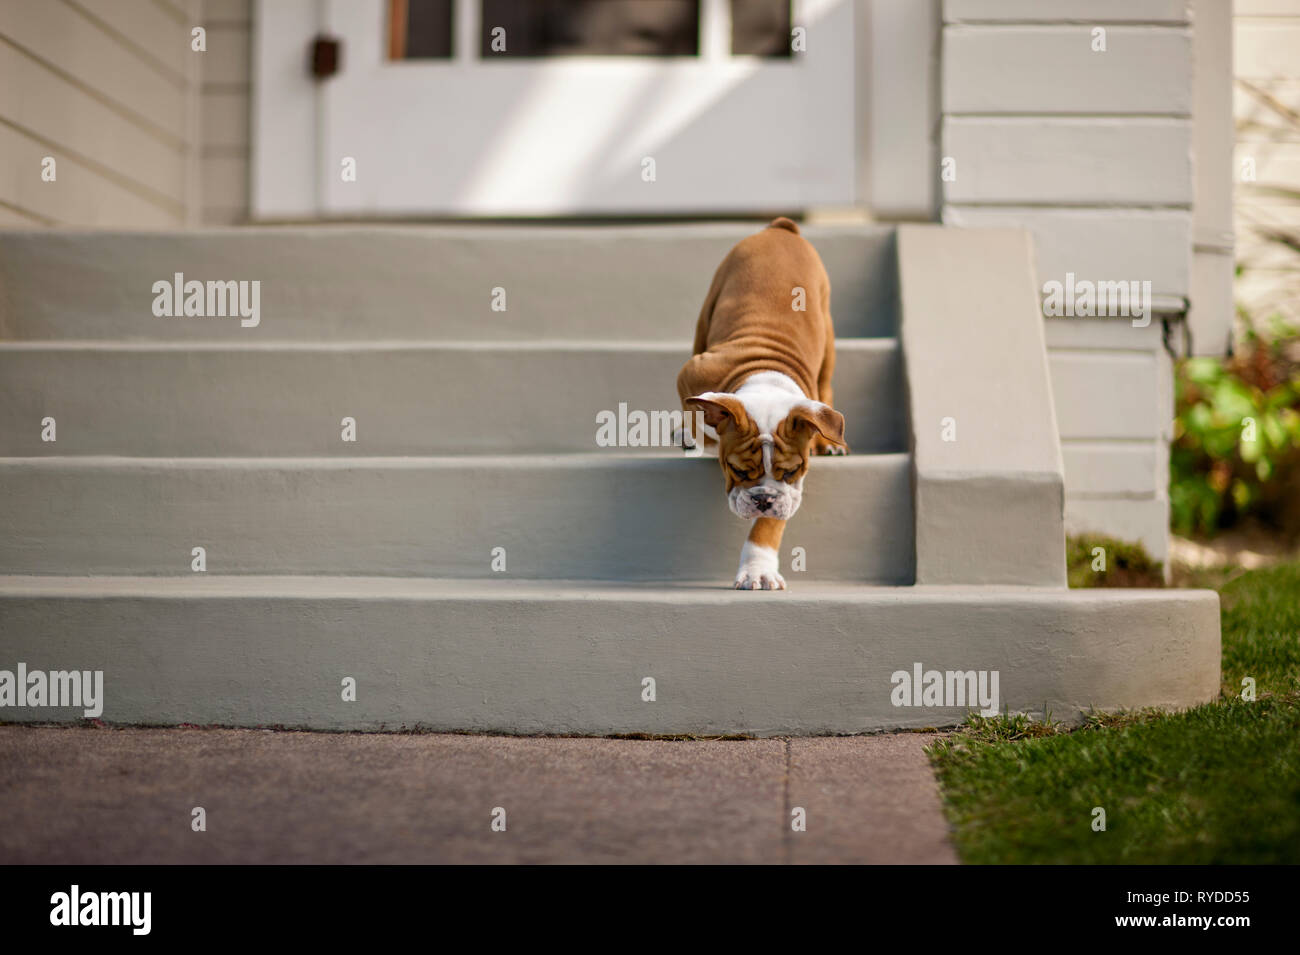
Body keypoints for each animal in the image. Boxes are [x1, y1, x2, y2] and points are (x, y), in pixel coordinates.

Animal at [676, 218, 847, 589]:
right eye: (739, 471)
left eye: (791, 470)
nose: (763, 499)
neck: (766, 377)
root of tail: (781, 229)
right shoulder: (694, 372)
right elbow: (697, 410)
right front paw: (697, 436)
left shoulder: (792, 488)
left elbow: (769, 525)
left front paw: (758, 569)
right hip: (709, 307)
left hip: (827, 329)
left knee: (826, 385)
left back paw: (831, 443)